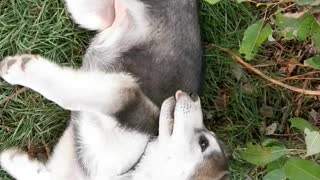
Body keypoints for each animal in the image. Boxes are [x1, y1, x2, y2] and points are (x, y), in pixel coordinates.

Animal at [0, 0, 230, 179]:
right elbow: (69, 94)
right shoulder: (127, 96)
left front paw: (14, 160)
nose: (193, 95)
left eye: (203, 143)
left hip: (90, 13)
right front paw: (22, 69)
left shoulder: (121, 91)